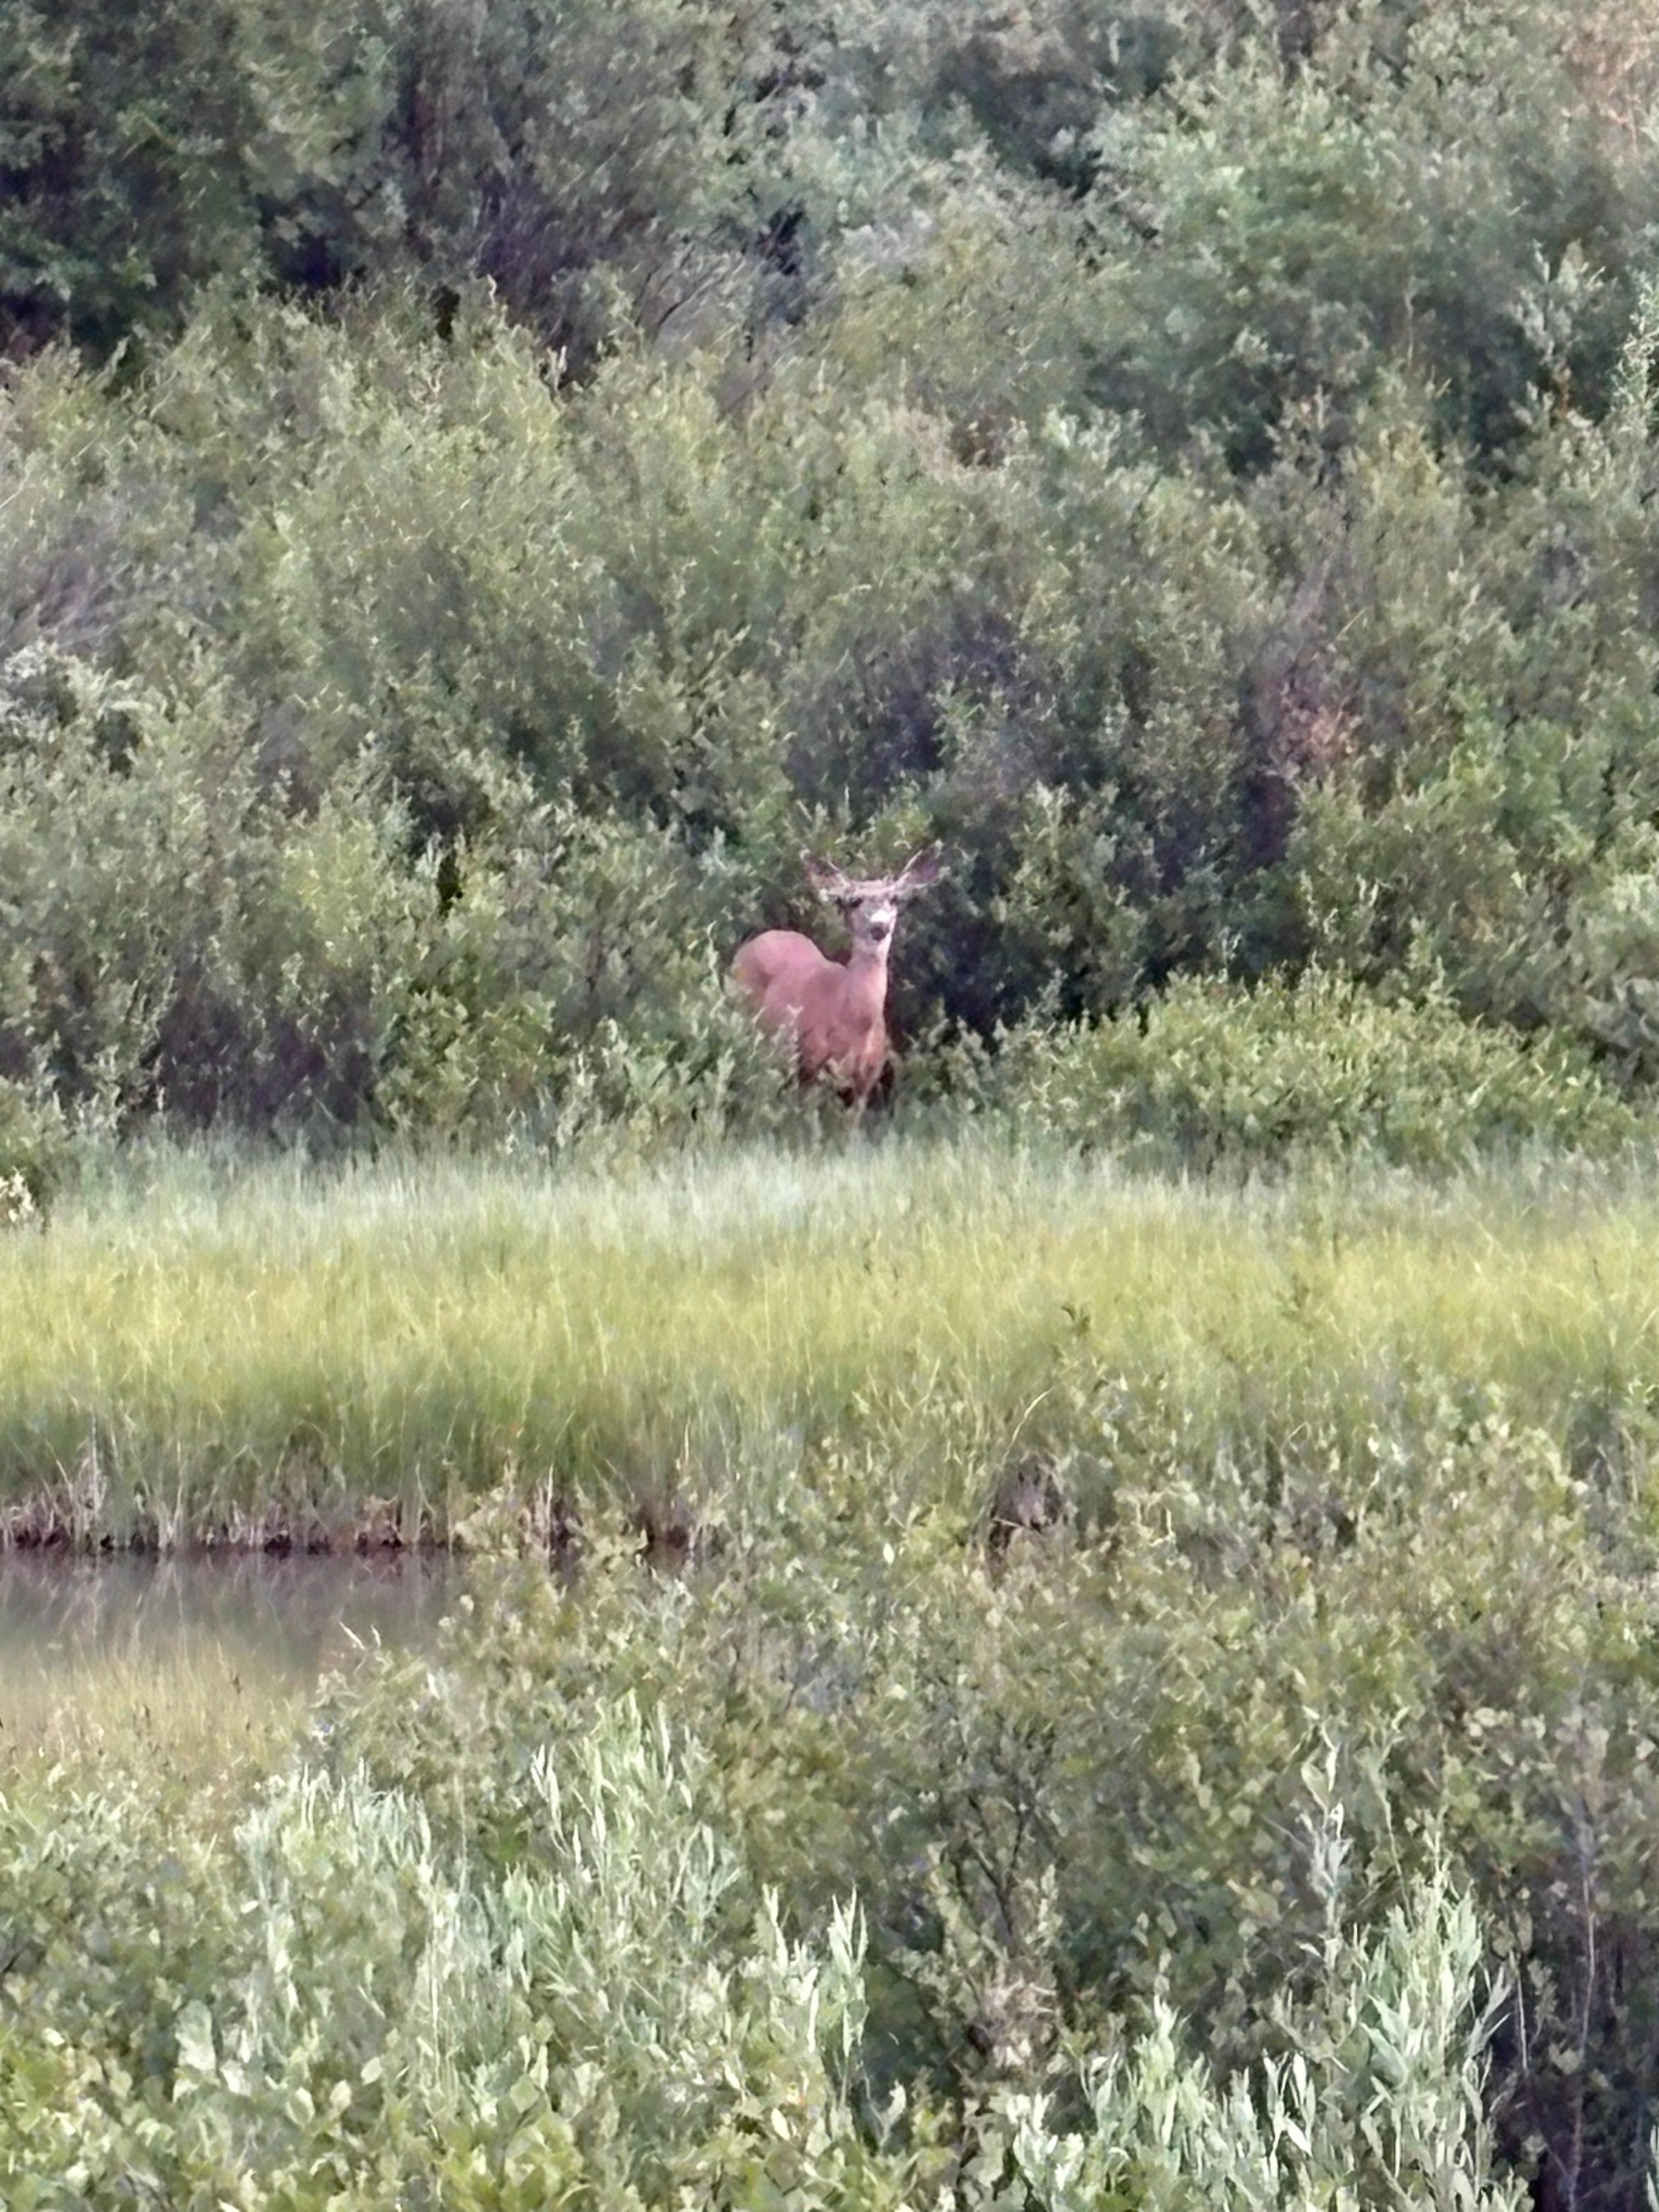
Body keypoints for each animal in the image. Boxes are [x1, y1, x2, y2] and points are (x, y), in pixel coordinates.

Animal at [730, 847, 943, 1108]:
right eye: (854, 901)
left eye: (894, 899)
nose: (879, 927)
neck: (854, 1020)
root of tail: (750, 944)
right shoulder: (811, 1065)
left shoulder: (866, 1082)